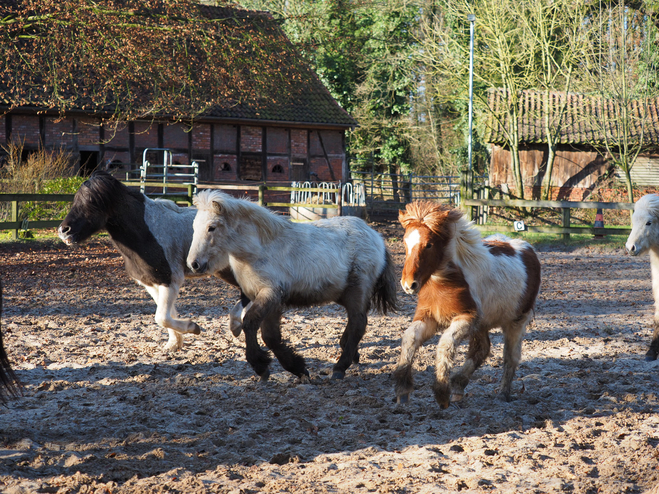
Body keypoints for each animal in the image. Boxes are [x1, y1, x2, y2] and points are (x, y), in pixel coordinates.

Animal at [58, 171, 245, 352]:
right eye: (76, 200)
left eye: (92, 202)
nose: (63, 231)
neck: (147, 232)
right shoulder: (151, 283)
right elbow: (167, 315)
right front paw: (174, 344)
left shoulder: (170, 281)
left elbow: (161, 317)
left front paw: (193, 327)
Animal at [186, 190, 398, 382]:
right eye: (194, 227)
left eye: (211, 227)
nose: (194, 264)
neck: (259, 250)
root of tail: (376, 236)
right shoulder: (266, 299)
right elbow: (269, 335)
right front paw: (293, 367)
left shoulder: (271, 295)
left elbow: (253, 325)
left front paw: (268, 366)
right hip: (343, 294)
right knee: (356, 322)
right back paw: (350, 353)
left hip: (357, 290)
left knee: (358, 323)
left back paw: (340, 367)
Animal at [392, 202, 540, 410]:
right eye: (405, 242)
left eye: (428, 244)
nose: (408, 285)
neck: (444, 281)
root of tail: (527, 248)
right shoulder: (428, 316)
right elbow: (410, 338)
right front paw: (403, 391)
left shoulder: (467, 317)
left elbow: (445, 344)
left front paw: (441, 392)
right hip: (483, 324)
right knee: (481, 349)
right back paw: (458, 387)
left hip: (517, 321)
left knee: (510, 357)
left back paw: (502, 394)